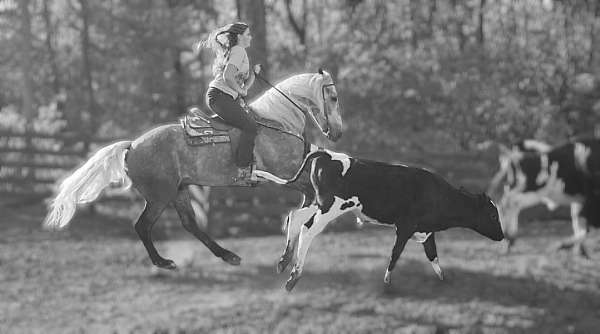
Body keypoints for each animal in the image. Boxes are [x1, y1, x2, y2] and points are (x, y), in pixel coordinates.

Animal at [44, 70, 342, 268]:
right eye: (333, 96)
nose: (337, 132)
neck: (275, 121)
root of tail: (131, 146)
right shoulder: (285, 173)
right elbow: (310, 193)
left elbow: (310, 194)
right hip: (160, 196)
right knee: (143, 226)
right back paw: (163, 262)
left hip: (179, 190)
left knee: (190, 224)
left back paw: (228, 255)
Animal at [255, 150, 504, 290]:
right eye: (493, 215)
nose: (502, 236)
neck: (439, 195)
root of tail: (327, 154)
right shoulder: (405, 227)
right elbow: (396, 252)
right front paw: (387, 282)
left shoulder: (426, 231)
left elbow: (432, 255)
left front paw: (444, 279)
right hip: (330, 206)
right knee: (308, 230)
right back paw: (294, 276)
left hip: (316, 200)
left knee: (295, 217)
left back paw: (283, 262)